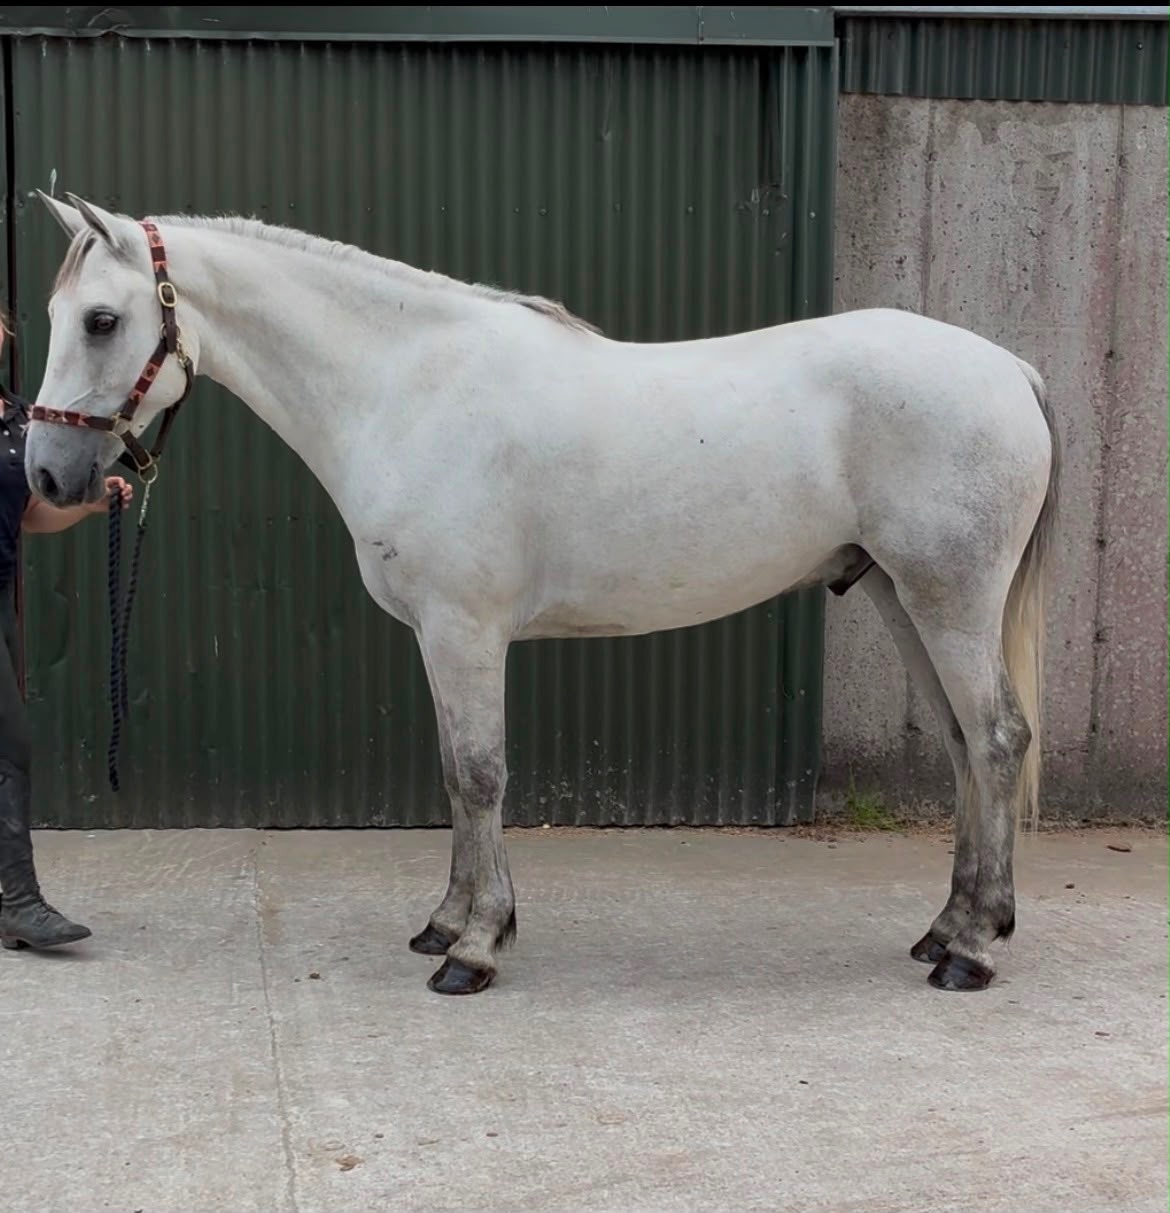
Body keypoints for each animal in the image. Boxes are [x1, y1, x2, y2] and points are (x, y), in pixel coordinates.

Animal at [24, 192, 1059, 997]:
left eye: (102, 320)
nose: (46, 474)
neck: (408, 388)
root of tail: (1011, 369)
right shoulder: (437, 637)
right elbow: (453, 773)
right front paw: (445, 924)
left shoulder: (466, 630)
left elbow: (482, 775)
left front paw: (476, 950)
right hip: (900, 597)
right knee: (964, 749)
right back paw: (946, 927)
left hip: (949, 601)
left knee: (998, 741)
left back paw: (972, 950)